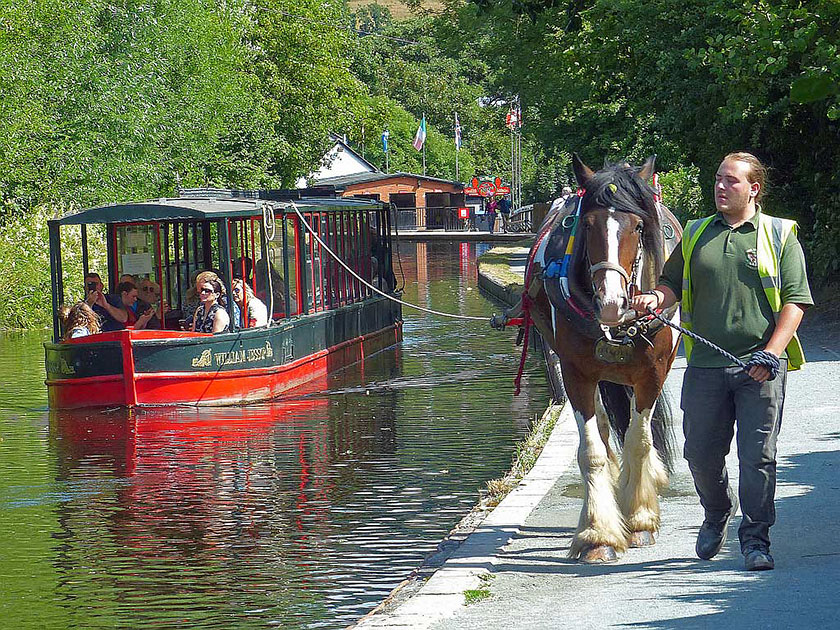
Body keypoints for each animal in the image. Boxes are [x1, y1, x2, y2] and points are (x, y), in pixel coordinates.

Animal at [498, 156, 684, 564]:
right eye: (587, 225)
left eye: (638, 226)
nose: (612, 302)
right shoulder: (576, 374)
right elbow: (592, 451)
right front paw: (598, 534)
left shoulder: (652, 373)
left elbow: (639, 439)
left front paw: (640, 518)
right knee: (601, 426)